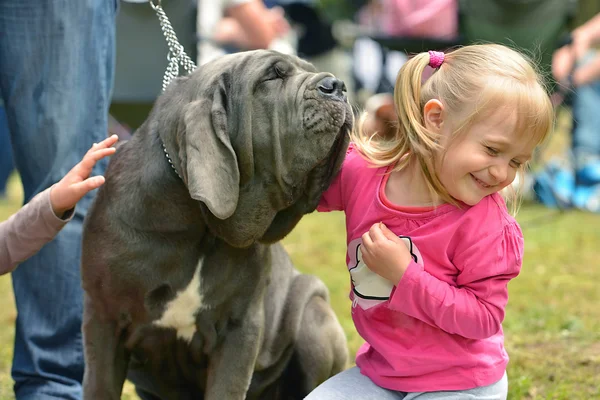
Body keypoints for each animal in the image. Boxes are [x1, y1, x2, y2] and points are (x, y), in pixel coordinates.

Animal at [79, 50, 352, 400]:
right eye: (272, 76)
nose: (337, 85)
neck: (199, 224)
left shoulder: (240, 326)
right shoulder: (104, 319)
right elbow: (100, 385)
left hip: (314, 317)